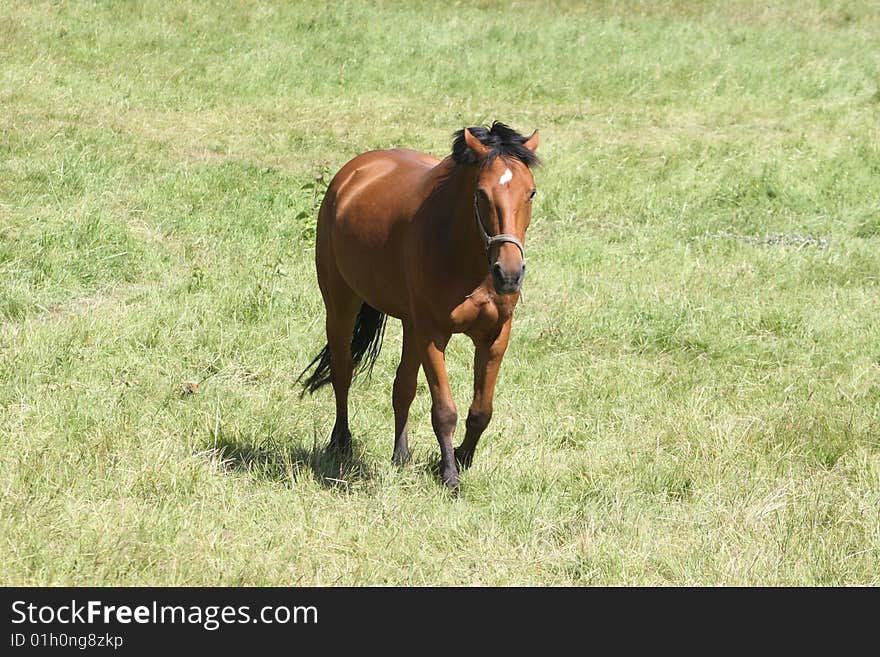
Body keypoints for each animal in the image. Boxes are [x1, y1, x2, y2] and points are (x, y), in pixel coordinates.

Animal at [300, 121, 540, 486]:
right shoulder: (433, 334)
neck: (463, 256)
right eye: (481, 193)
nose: (509, 274)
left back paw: (401, 455)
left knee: (403, 387)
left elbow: (481, 411)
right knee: (343, 373)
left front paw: (462, 458)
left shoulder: (495, 336)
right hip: (342, 305)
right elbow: (444, 411)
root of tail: (353, 174)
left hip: (410, 324)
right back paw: (341, 443)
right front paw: (450, 476)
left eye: (531, 192)